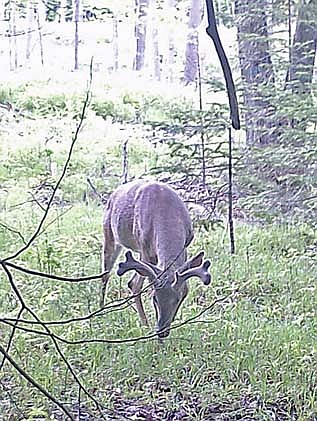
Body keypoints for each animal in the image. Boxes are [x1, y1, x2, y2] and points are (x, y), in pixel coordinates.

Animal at [100, 179, 211, 336]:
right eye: (154, 299)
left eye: (178, 299)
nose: (162, 331)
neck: (166, 214)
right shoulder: (145, 247)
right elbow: (141, 283)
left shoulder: (185, 245)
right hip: (111, 235)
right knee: (110, 275)